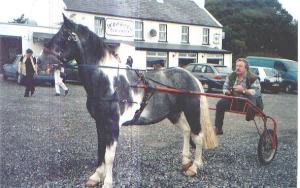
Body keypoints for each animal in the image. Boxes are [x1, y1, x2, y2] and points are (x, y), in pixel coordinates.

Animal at [38, 15, 218, 188]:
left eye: (64, 36)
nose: (40, 61)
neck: (109, 82)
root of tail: (192, 77)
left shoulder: (113, 124)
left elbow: (109, 156)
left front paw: (107, 182)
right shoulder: (100, 122)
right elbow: (100, 151)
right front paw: (96, 177)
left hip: (192, 111)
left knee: (198, 136)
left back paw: (194, 167)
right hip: (173, 114)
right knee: (186, 131)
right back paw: (185, 161)